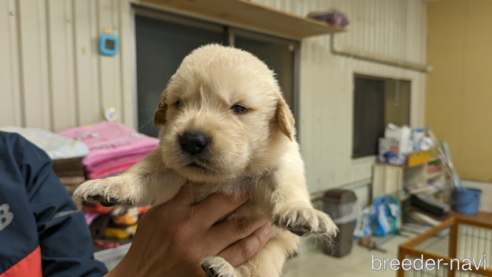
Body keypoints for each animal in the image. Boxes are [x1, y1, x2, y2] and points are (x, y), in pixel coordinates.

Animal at [74, 44, 338, 274]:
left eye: (239, 108)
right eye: (179, 103)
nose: (191, 140)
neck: (225, 178)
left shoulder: (278, 168)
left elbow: (288, 187)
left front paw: (302, 211)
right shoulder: (166, 170)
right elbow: (141, 173)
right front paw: (108, 185)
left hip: (270, 249)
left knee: (255, 270)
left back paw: (225, 269)